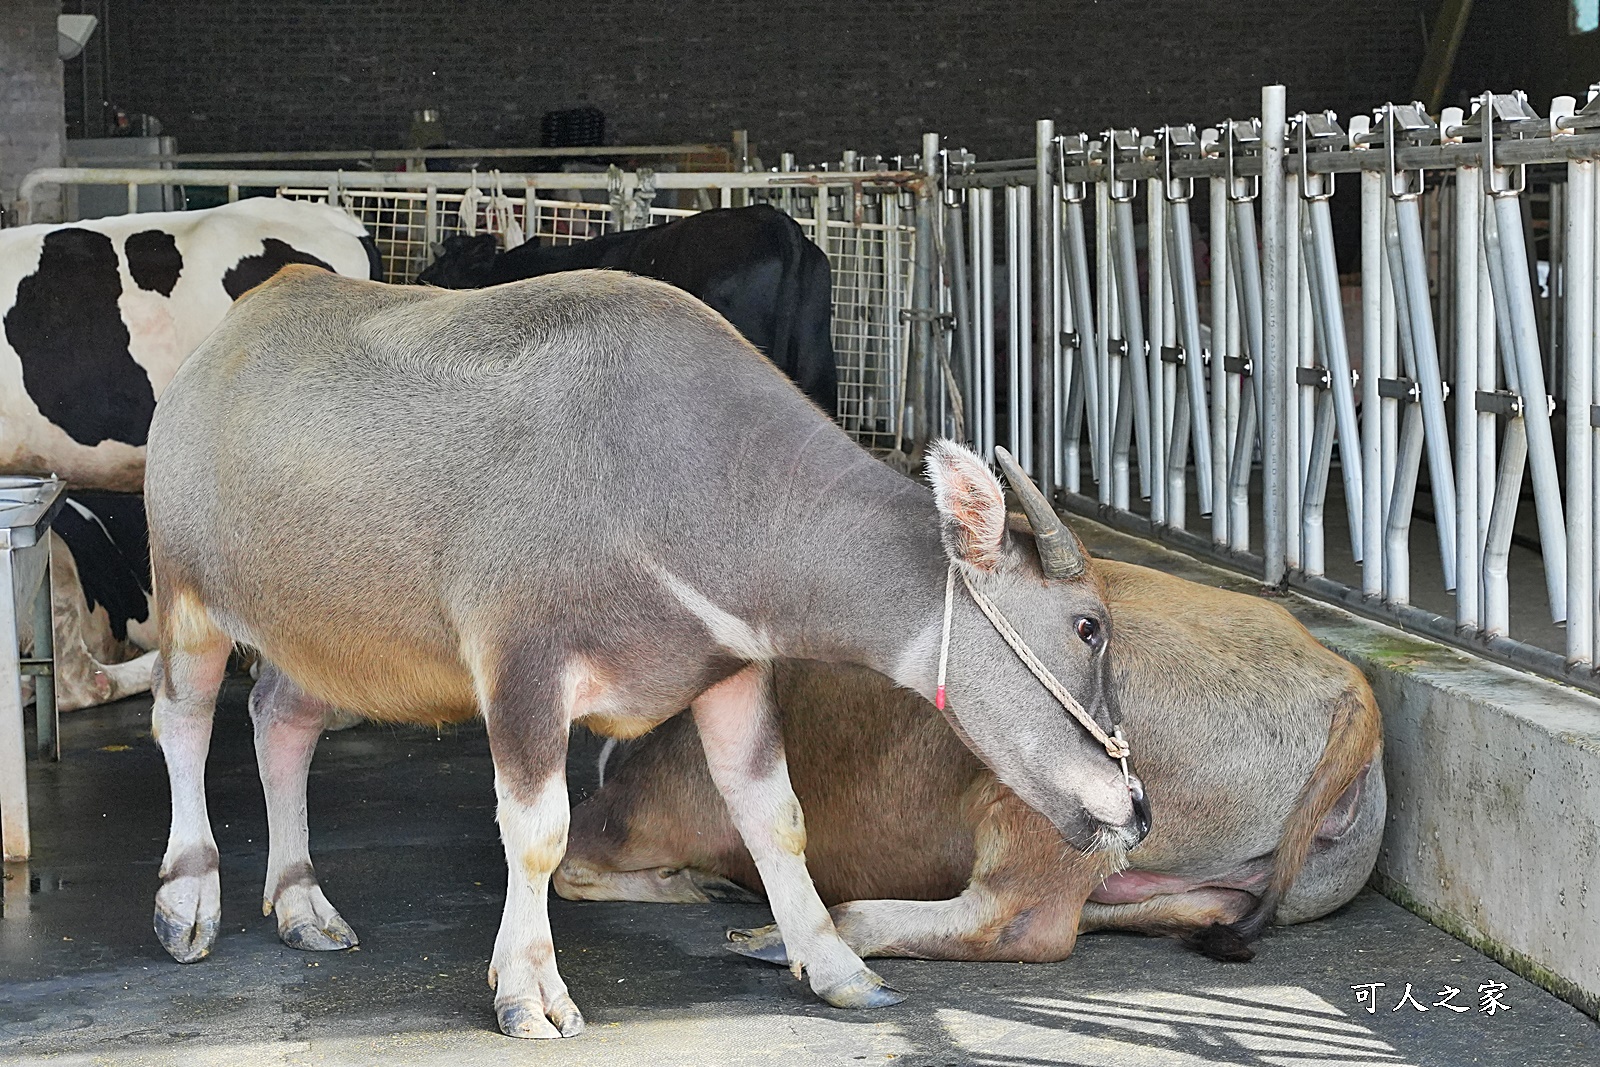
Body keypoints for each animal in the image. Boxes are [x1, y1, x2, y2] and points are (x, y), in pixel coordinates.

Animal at [556, 559, 1382, 966]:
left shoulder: (640, 810)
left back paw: (801, 935)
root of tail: (1350, 688)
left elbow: (572, 865)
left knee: (1021, 923)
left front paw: (698, 887)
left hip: (1045, 797)